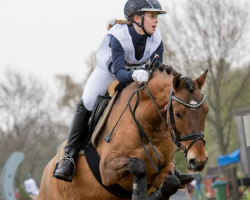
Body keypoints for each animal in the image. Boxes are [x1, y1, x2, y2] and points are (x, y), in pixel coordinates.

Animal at [37, 64, 209, 200]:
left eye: (206, 111)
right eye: (178, 114)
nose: (198, 160)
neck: (149, 127)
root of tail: (46, 173)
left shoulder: (164, 169)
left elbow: (172, 182)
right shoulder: (107, 169)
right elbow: (138, 165)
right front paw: (139, 194)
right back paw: (65, 167)